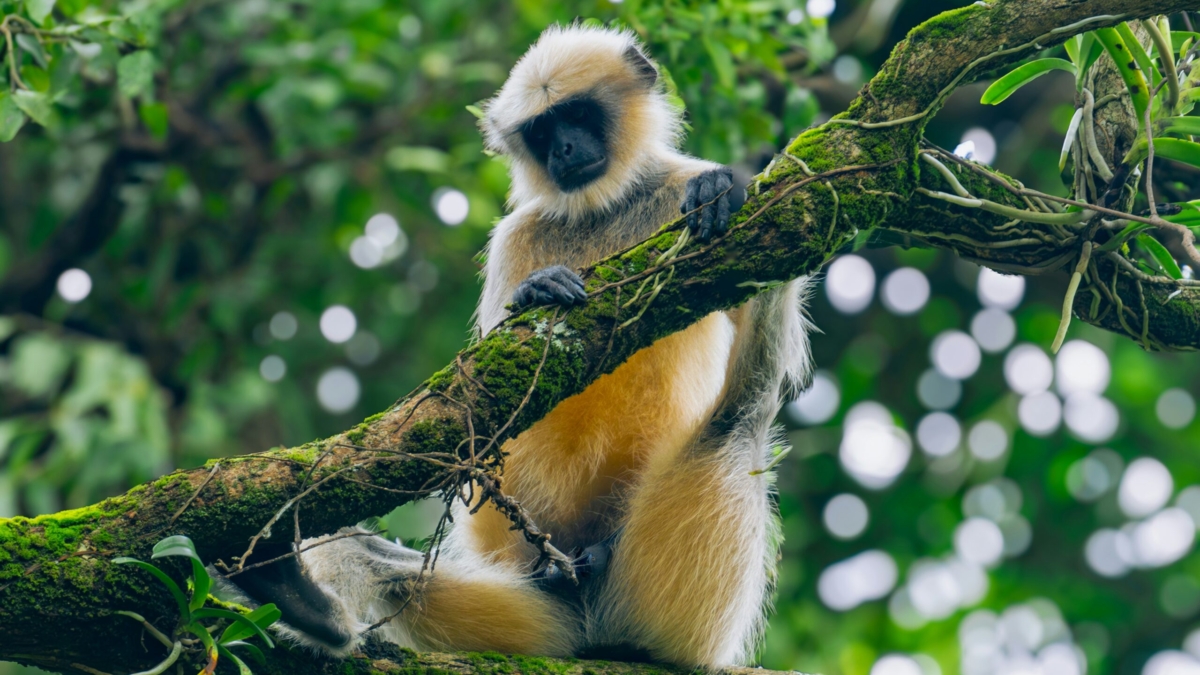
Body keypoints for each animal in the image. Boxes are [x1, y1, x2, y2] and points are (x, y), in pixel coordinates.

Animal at [224, 24, 814, 668]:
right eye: (541, 132)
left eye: (575, 114)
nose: (564, 151)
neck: (607, 208)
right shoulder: (518, 235)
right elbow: (477, 411)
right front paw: (537, 292)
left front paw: (721, 187)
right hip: (535, 607)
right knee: (369, 559)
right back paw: (304, 602)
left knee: (745, 411)